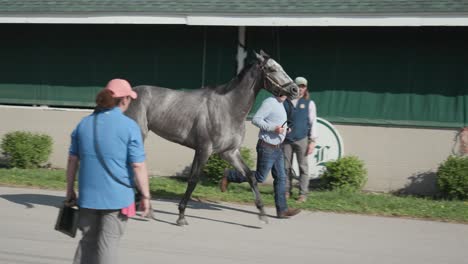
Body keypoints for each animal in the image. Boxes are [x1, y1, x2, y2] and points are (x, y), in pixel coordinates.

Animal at [126, 50, 298, 226]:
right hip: (139, 134)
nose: (294, 89)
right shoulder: (204, 150)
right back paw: (144, 207)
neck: (228, 107)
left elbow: (250, 176)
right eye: (271, 69)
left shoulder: (230, 152)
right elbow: (193, 179)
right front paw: (181, 216)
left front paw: (262, 213)